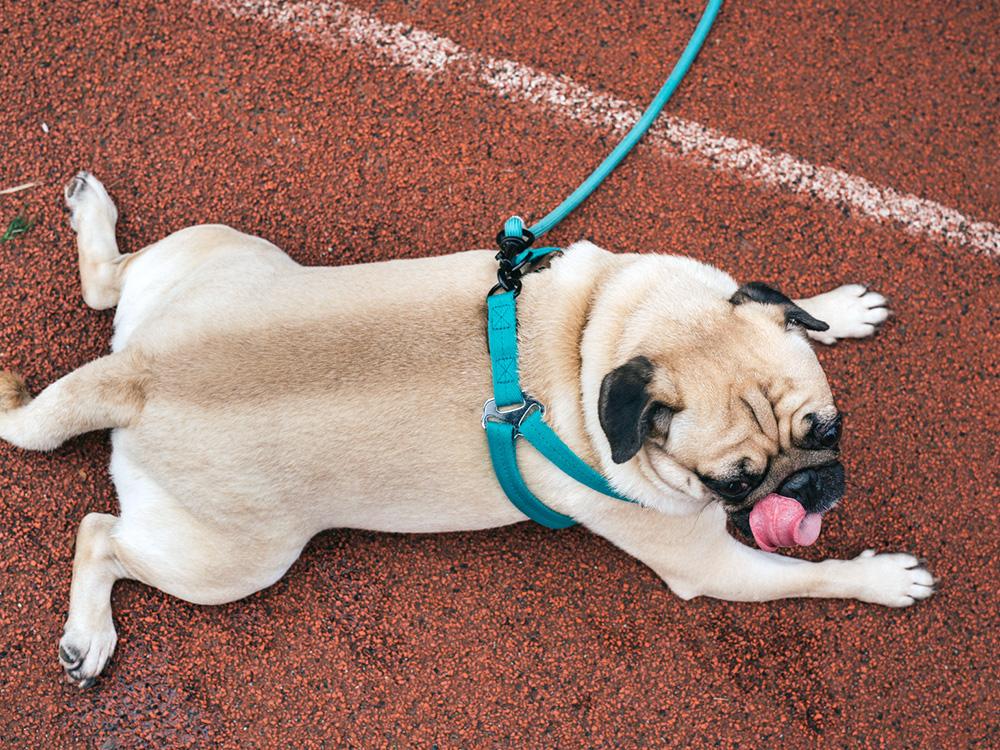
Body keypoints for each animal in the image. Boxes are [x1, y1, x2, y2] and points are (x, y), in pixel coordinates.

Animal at [1, 173, 936, 692]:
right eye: (734, 482)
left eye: (831, 425)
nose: (811, 487)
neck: (603, 336)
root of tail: (134, 372)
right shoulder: (707, 561)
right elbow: (805, 577)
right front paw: (879, 578)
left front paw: (836, 309)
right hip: (234, 563)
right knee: (101, 533)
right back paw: (90, 638)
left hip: (216, 250)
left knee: (107, 285)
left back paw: (94, 217)